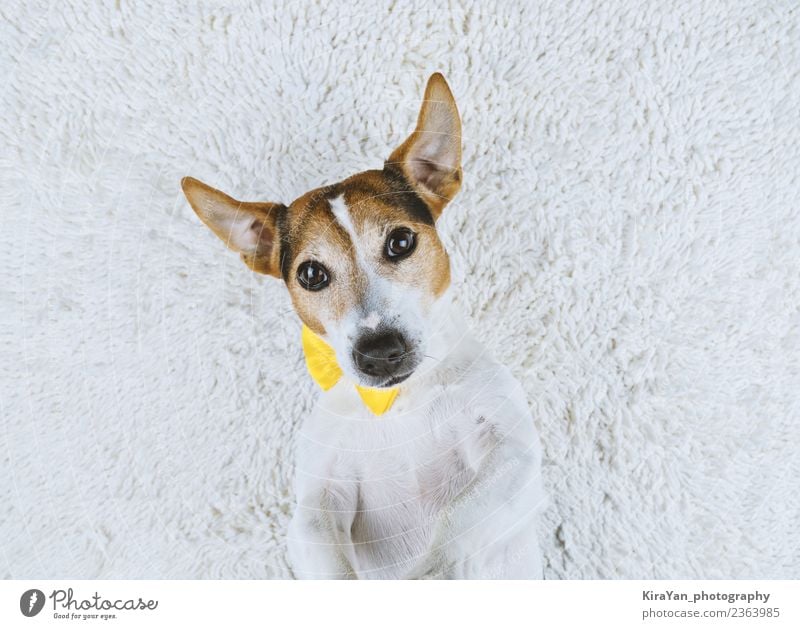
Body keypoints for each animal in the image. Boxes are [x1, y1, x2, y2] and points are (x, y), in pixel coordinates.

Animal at [182, 71, 548, 576]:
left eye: (401, 242)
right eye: (311, 274)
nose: (379, 353)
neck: (400, 401)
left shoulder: (512, 457)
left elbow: (456, 525)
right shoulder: (316, 510)